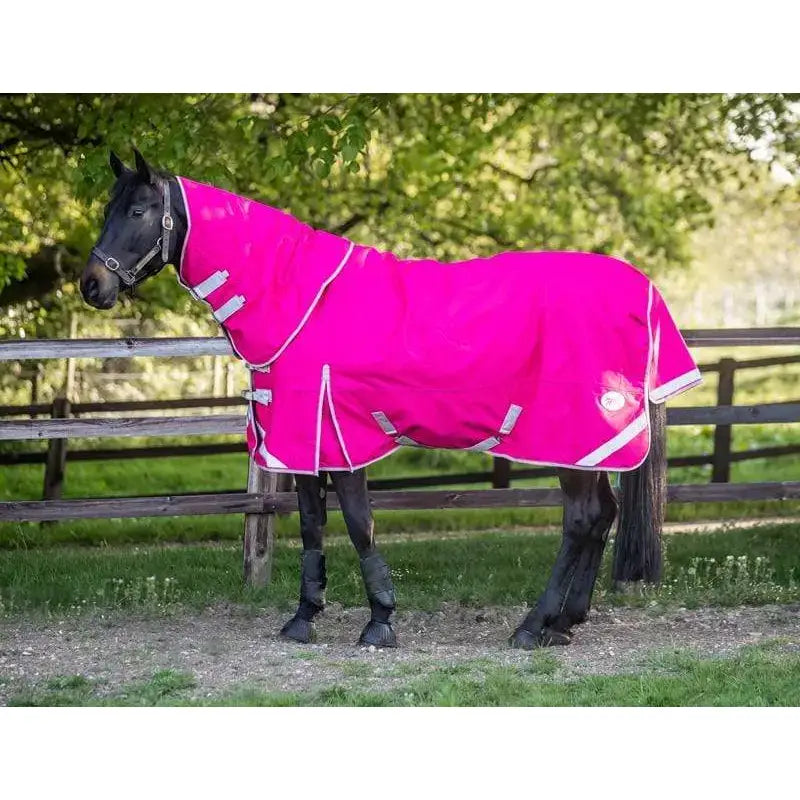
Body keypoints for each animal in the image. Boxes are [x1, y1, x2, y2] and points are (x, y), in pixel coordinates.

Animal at [80, 149, 700, 650]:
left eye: (138, 211)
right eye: (108, 207)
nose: (92, 285)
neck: (301, 298)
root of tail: (644, 291)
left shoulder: (340, 435)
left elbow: (359, 525)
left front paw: (379, 622)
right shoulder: (305, 441)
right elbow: (312, 525)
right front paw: (303, 618)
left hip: (567, 438)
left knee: (582, 520)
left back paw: (532, 627)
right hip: (588, 450)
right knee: (601, 518)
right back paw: (564, 624)